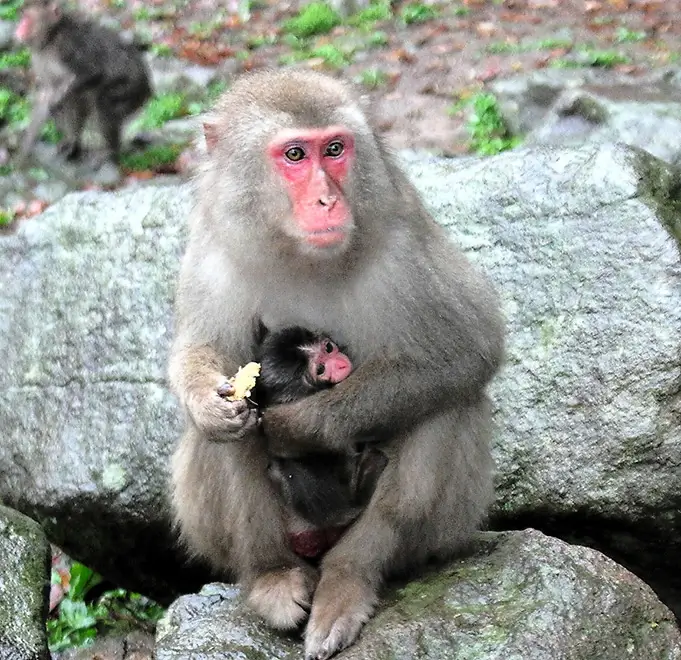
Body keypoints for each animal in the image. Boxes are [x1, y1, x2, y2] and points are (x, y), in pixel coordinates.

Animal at [14, 0, 150, 165]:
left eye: (27, 18)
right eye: (23, 17)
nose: (19, 28)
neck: (51, 38)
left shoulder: (69, 45)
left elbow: (92, 72)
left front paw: (56, 101)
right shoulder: (39, 60)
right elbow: (47, 94)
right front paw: (22, 155)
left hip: (131, 89)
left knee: (102, 102)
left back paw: (110, 151)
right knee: (78, 100)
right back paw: (74, 143)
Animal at [168, 68, 502, 660]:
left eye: (336, 149)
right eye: (295, 154)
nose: (327, 199)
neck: (297, 254)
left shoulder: (404, 244)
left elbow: (468, 350)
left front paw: (298, 425)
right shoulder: (212, 252)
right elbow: (204, 356)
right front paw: (209, 403)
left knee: (447, 404)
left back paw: (349, 580)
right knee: (225, 440)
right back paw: (272, 576)